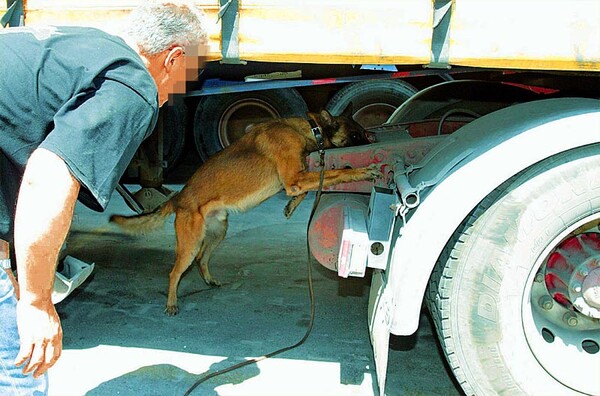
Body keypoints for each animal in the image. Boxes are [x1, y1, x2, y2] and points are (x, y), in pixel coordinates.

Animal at [111, 109, 380, 316]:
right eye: (356, 134)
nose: (374, 136)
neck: (308, 128)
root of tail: (179, 197)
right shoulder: (294, 179)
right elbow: (338, 173)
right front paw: (364, 171)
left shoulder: (294, 180)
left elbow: (309, 188)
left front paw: (291, 206)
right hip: (191, 243)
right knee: (174, 272)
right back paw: (171, 303)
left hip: (217, 233)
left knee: (201, 259)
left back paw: (208, 280)